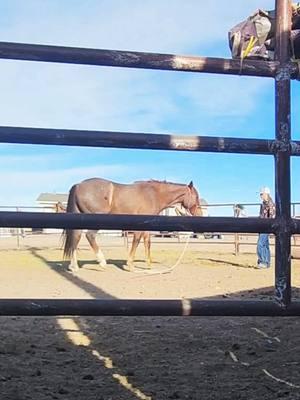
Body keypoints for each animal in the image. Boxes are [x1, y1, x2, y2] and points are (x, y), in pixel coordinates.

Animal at [63, 178, 202, 272]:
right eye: (196, 197)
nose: (200, 213)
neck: (154, 195)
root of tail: (78, 185)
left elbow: (147, 243)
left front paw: (149, 265)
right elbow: (137, 241)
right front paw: (131, 265)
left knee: (76, 237)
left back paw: (74, 266)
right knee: (89, 236)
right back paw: (102, 262)